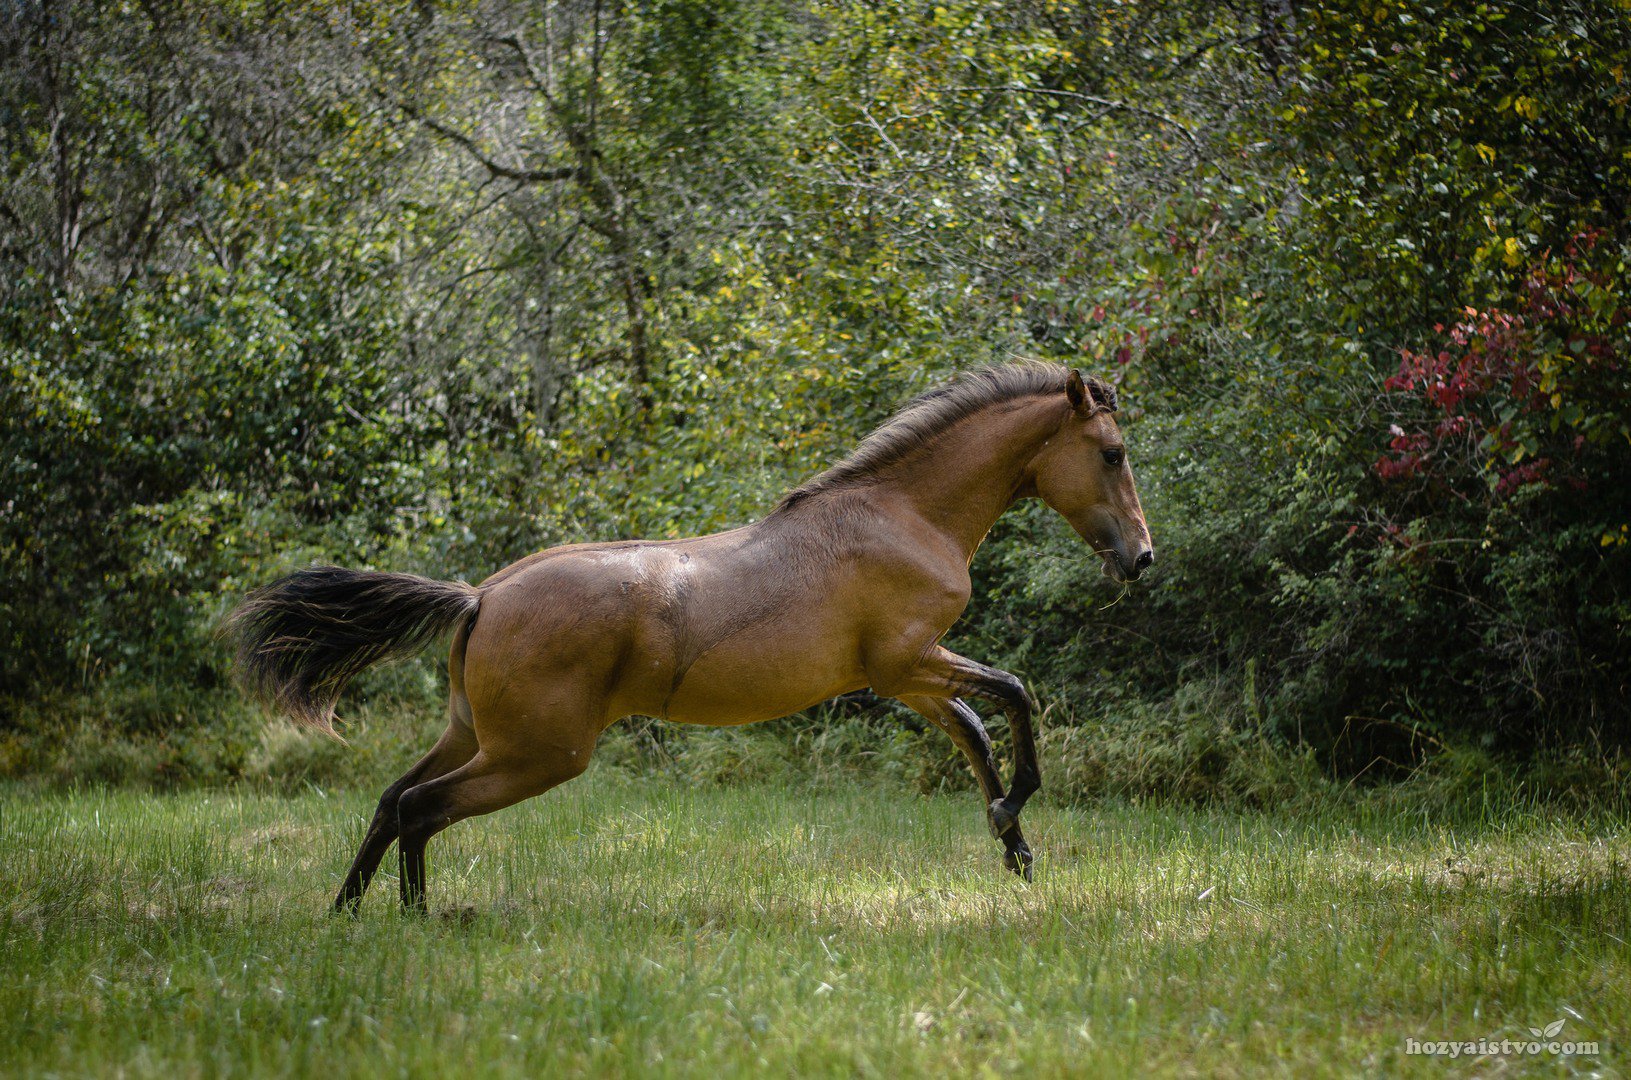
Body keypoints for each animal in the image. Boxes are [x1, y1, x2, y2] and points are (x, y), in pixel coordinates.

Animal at [226, 363, 1148, 913]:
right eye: (1111, 452)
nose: (1140, 557)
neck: (902, 513)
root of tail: (480, 597)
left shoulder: (909, 678)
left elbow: (976, 732)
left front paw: (1014, 847)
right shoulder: (907, 663)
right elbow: (1013, 697)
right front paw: (1015, 814)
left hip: (473, 735)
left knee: (391, 799)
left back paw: (348, 913)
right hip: (537, 754)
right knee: (421, 808)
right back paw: (416, 920)